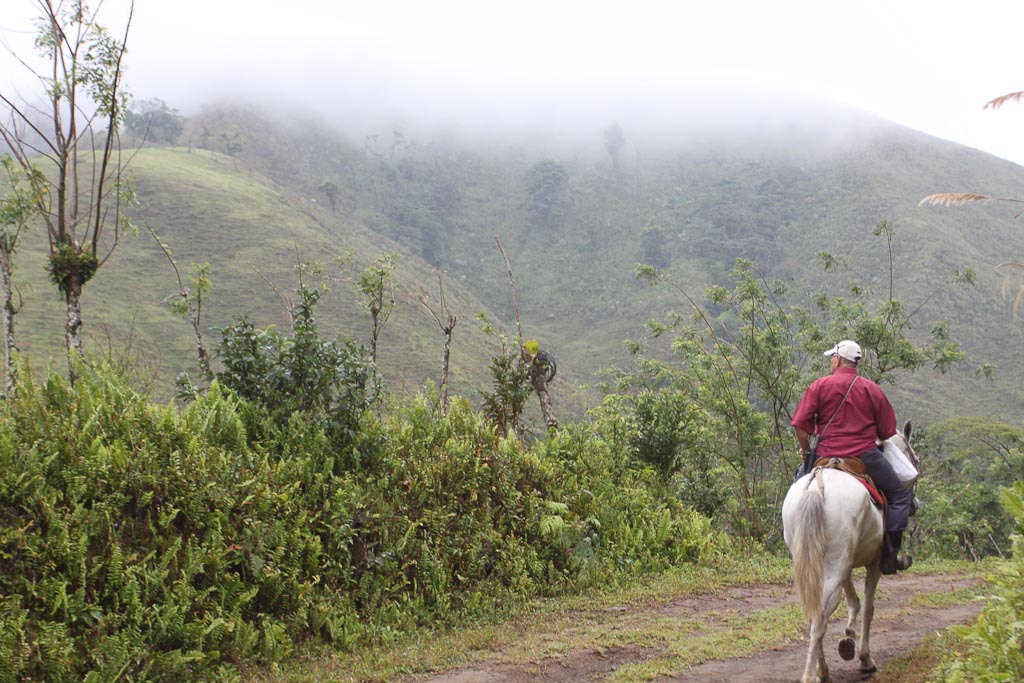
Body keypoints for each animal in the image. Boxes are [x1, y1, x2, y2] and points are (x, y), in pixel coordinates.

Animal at [782, 421, 921, 683]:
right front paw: (865, 659)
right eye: (916, 459)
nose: (915, 505)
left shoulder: (845, 565)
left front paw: (847, 637)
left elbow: (852, 601)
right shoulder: (874, 563)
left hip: (817, 561)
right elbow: (867, 607)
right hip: (835, 565)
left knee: (815, 612)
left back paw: (822, 670)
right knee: (820, 617)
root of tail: (818, 486)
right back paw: (814, 674)